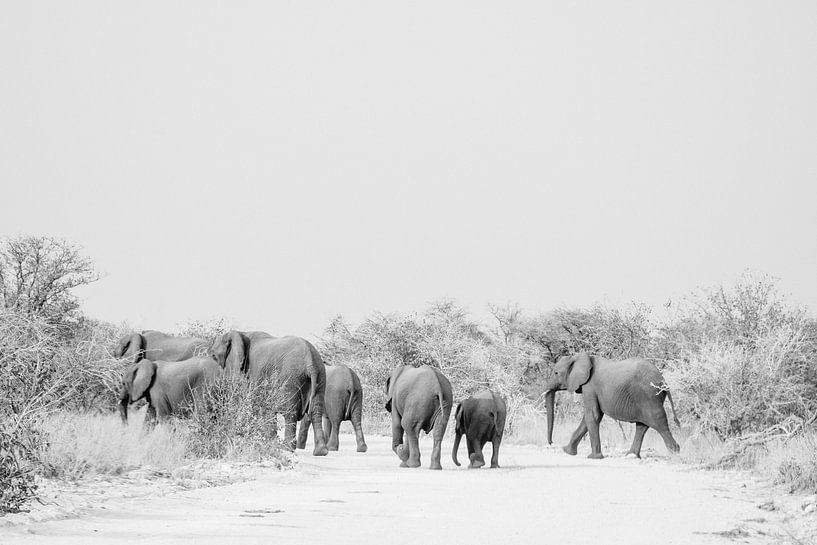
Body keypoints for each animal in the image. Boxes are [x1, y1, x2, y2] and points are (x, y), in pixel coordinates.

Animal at [544, 350, 680, 456]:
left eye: (556, 373)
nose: (551, 442)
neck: (580, 357)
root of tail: (663, 381)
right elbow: (592, 417)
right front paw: (567, 451)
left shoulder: (590, 386)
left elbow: (592, 415)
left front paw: (594, 457)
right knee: (642, 426)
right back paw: (631, 456)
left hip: (649, 397)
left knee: (659, 424)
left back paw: (675, 454)